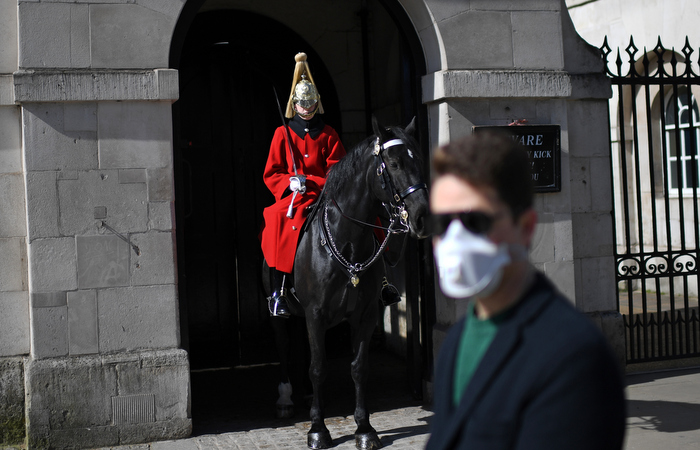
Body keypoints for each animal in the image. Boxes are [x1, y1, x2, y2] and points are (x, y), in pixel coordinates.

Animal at [262, 117, 426, 450]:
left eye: (419, 159)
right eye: (394, 163)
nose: (421, 215)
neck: (347, 240)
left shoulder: (365, 314)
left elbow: (359, 368)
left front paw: (364, 428)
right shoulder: (315, 314)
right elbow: (318, 367)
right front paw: (317, 429)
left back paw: (306, 394)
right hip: (281, 315)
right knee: (284, 345)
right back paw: (286, 397)